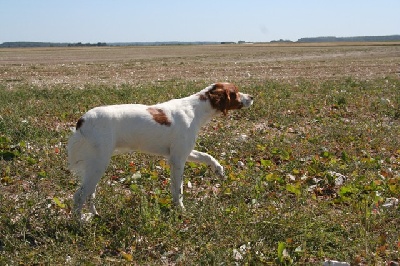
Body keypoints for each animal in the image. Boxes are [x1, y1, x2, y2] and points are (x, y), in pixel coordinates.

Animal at [67, 83, 252, 218]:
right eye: (235, 92)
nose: (251, 97)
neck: (195, 109)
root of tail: (82, 120)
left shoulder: (181, 152)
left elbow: (207, 156)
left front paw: (218, 169)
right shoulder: (177, 159)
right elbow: (178, 190)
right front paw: (181, 210)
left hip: (94, 166)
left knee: (89, 194)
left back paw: (95, 215)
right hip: (98, 163)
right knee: (79, 196)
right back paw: (80, 223)